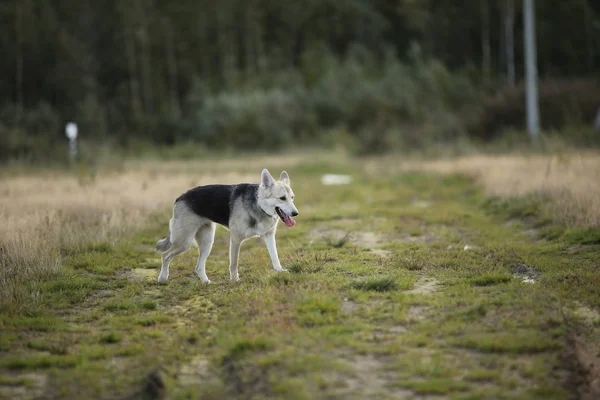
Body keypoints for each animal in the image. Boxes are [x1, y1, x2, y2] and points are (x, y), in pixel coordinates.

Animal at [154, 169, 296, 284]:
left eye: (292, 198)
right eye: (282, 198)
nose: (296, 213)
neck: (259, 204)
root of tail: (179, 198)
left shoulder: (269, 236)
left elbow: (275, 256)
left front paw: (279, 270)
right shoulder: (236, 239)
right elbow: (234, 263)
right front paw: (234, 280)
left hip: (207, 242)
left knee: (198, 266)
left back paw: (206, 282)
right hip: (184, 242)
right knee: (165, 255)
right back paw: (162, 278)